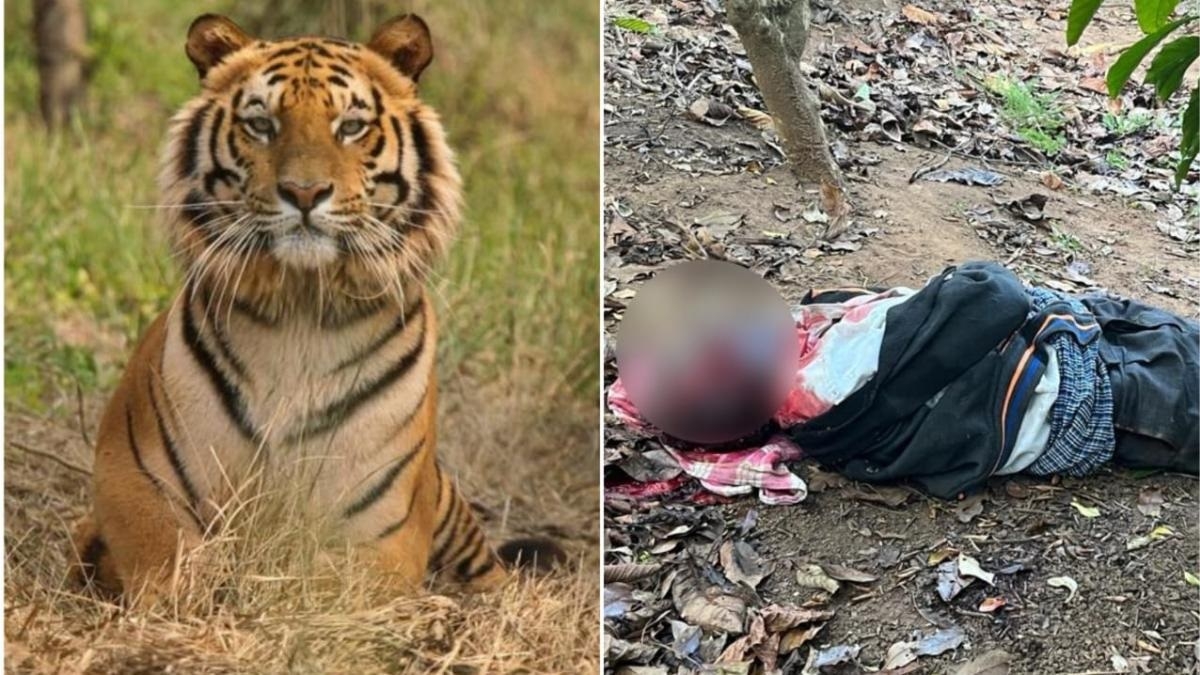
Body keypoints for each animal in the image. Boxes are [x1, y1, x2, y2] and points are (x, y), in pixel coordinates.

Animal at [70, 13, 562, 604]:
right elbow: (168, 562)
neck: (300, 312)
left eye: (350, 126)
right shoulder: (131, 476)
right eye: (261, 124)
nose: (304, 193)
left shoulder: (380, 522)